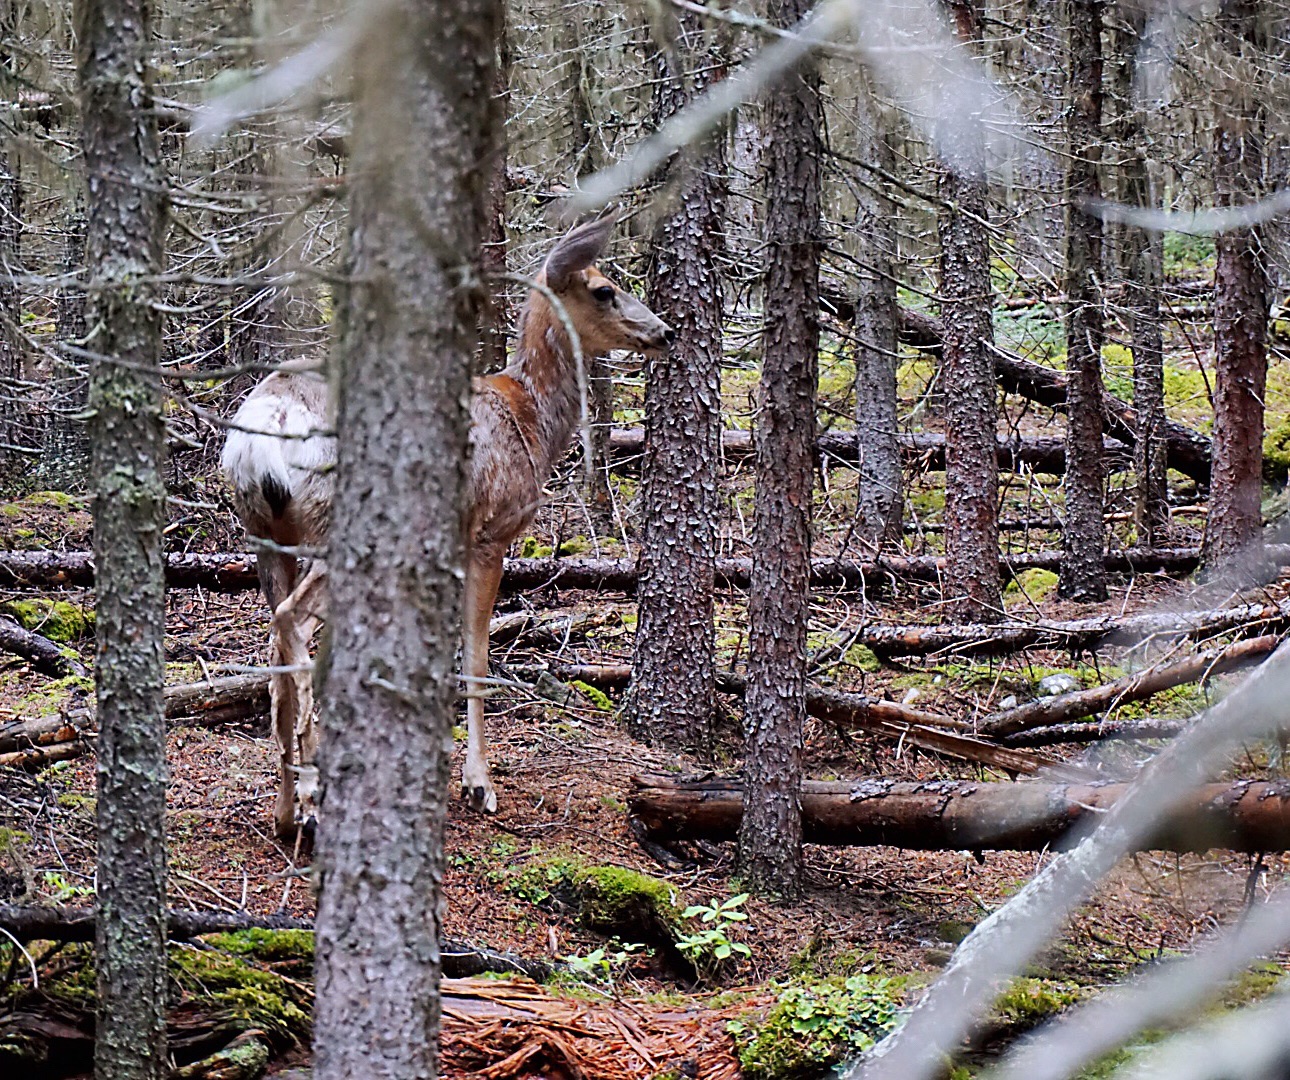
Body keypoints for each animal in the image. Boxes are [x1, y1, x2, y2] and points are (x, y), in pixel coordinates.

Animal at [220, 210, 675, 836]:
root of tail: (266, 424)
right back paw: (311, 792)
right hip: (336, 528)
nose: (665, 332)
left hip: (265, 534)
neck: (532, 423)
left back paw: (287, 807)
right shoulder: (490, 532)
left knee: (275, 644)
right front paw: (479, 783)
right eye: (605, 289)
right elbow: (476, 656)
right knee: (294, 623)